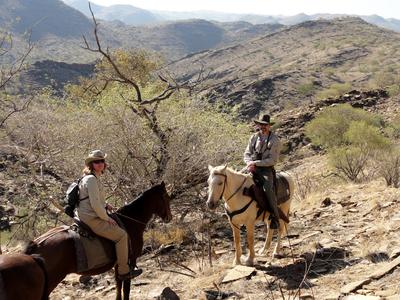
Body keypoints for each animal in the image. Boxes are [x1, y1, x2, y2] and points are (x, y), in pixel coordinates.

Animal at [24, 182, 172, 300]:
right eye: (166, 197)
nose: (169, 217)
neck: (129, 222)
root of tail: (36, 244)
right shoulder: (129, 261)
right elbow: (126, 289)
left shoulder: (119, 264)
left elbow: (118, 287)